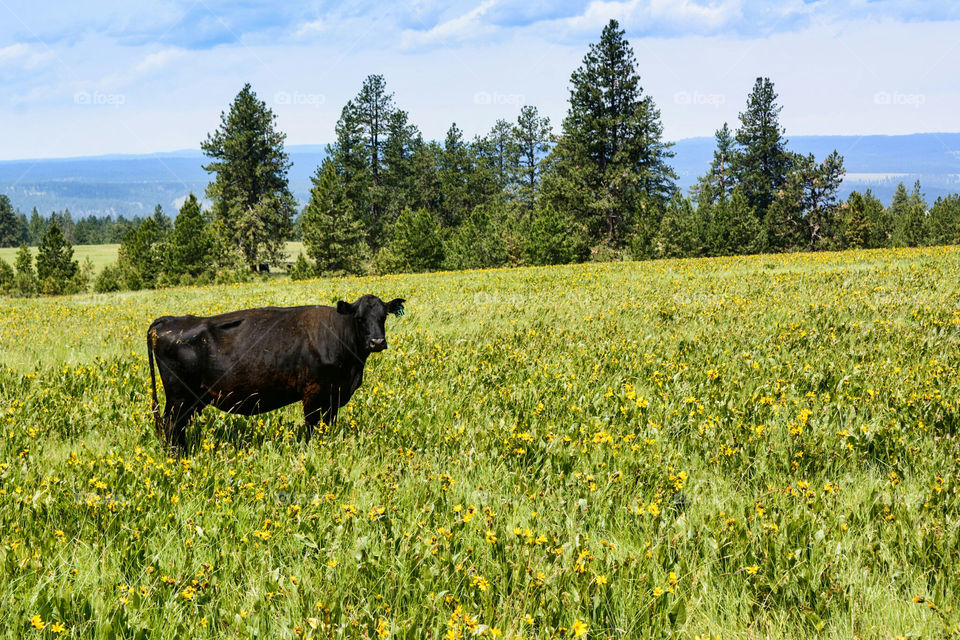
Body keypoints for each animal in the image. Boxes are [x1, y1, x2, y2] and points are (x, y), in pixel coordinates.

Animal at [146, 296, 404, 450]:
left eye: (383, 317)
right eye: (359, 318)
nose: (377, 342)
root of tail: (169, 320)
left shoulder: (333, 396)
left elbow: (327, 427)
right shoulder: (314, 394)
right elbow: (312, 427)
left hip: (193, 399)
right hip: (179, 397)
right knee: (171, 426)